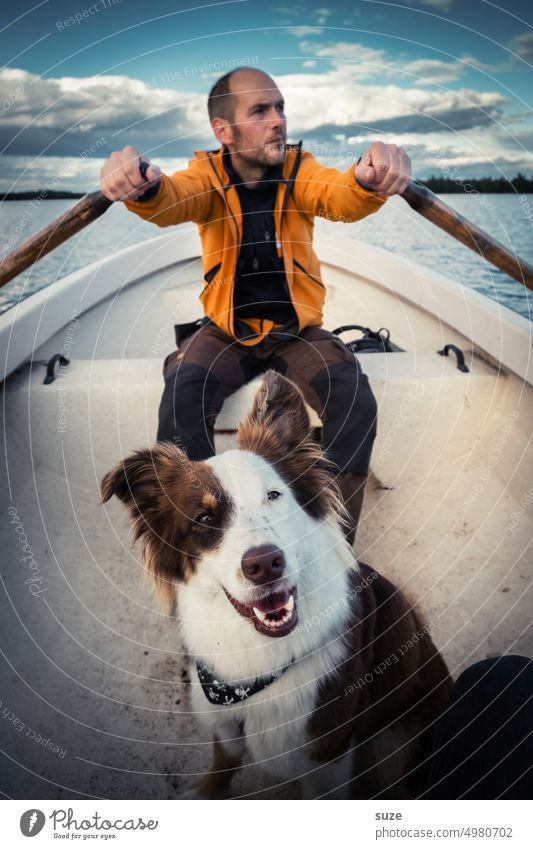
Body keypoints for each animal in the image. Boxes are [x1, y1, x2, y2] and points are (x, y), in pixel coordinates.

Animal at [102, 370, 450, 796]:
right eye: (204, 518)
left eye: (273, 495)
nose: (265, 565)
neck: (258, 664)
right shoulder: (224, 720)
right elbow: (223, 760)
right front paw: (207, 793)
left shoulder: (327, 752)